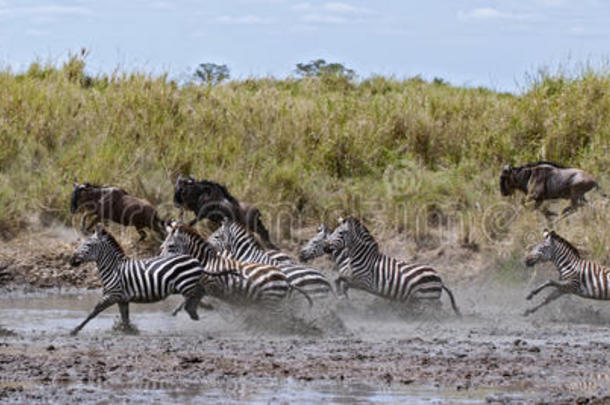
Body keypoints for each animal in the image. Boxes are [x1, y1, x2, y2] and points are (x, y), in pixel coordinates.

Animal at [67, 224, 228, 334]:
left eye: (88, 245)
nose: (71, 259)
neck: (114, 269)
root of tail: (196, 260)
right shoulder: (122, 299)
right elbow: (125, 316)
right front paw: (128, 331)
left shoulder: (113, 295)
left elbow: (93, 311)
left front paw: (75, 329)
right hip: (187, 284)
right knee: (201, 292)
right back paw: (197, 311)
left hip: (186, 284)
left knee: (200, 292)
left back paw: (197, 310)